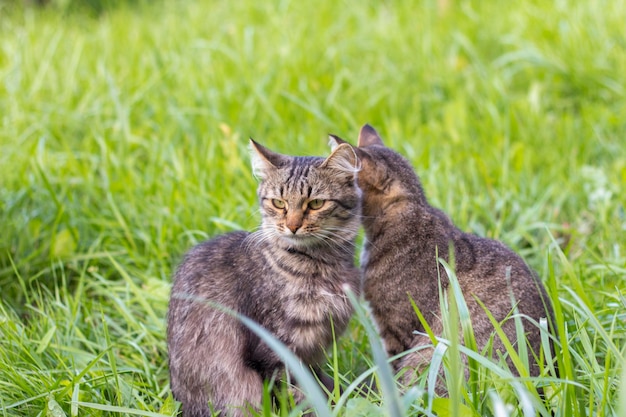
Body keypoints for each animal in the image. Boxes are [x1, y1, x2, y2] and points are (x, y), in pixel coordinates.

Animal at [166, 140, 360, 416]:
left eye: (316, 204)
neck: (322, 264)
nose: (292, 226)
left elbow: (322, 388)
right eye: (279, 203)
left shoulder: (313, 351)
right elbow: (297, 398)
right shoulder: (276, 352)